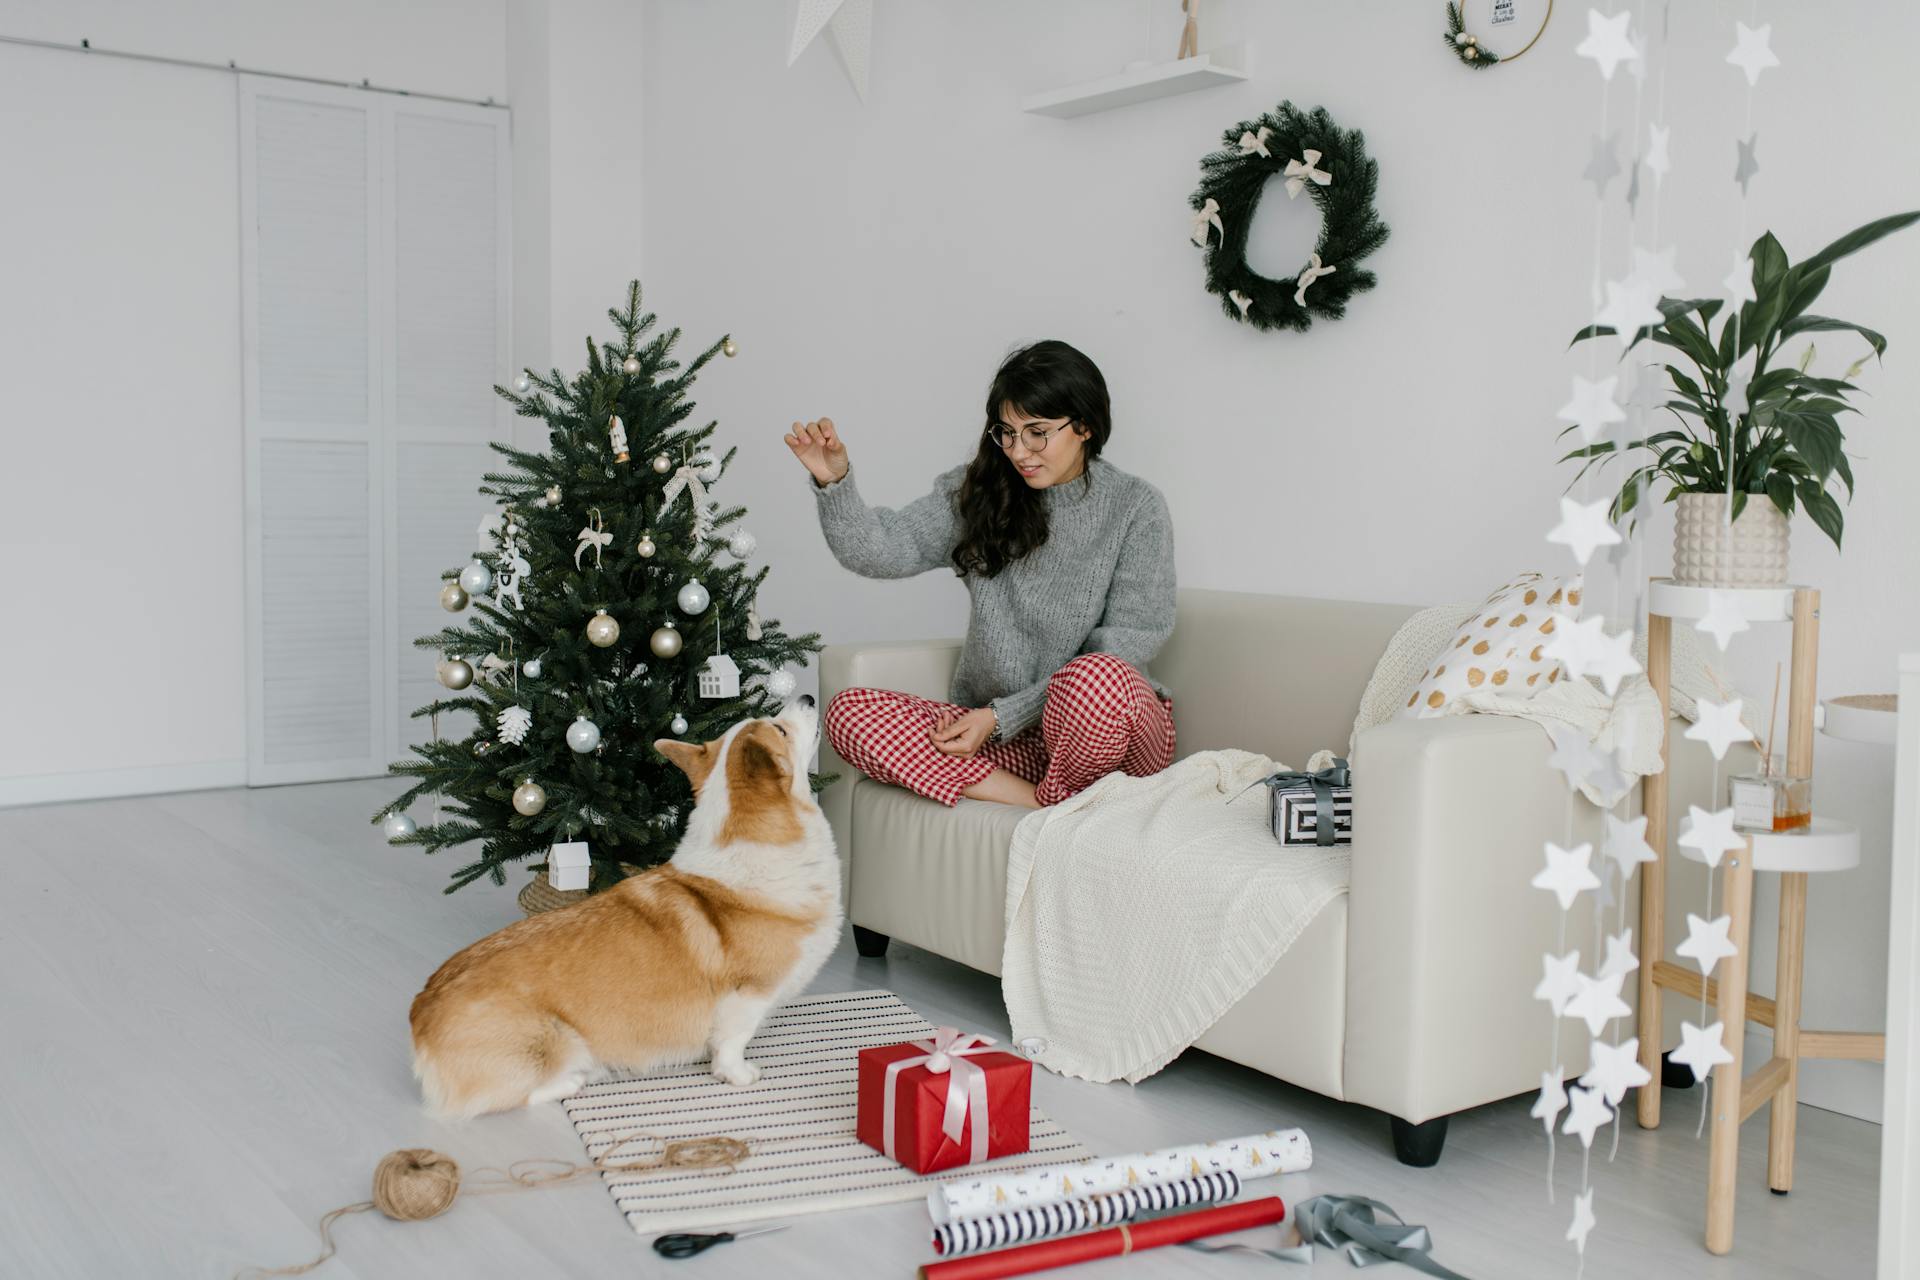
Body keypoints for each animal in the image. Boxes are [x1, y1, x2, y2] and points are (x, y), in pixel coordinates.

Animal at [412, 694, 840, 1113]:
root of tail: (420, 1017)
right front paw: (738, 1075)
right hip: (557, 1041)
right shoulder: (748, 994)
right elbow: (733, 1041)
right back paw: (578, 1079)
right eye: (780, 729)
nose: (807, 696)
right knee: (522, 1093)